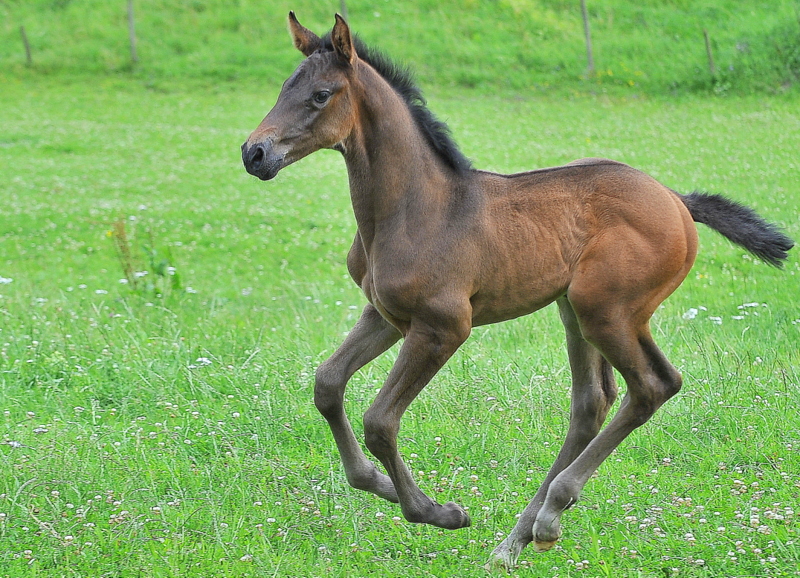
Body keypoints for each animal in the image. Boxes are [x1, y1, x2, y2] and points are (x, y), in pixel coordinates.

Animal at [241, 13, 792, 568]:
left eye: (320, 95)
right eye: (285, 87)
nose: (254, 153)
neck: (416, 208)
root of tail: (677, 201)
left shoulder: (443, 326)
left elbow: (379, 420)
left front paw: (440, 512)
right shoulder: (385, 315)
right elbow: (328, 383)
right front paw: (379, 484)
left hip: (607, 312)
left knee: (653, 386)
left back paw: (549, 513)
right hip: (580, 312)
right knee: (592, 403)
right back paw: (517, 540)